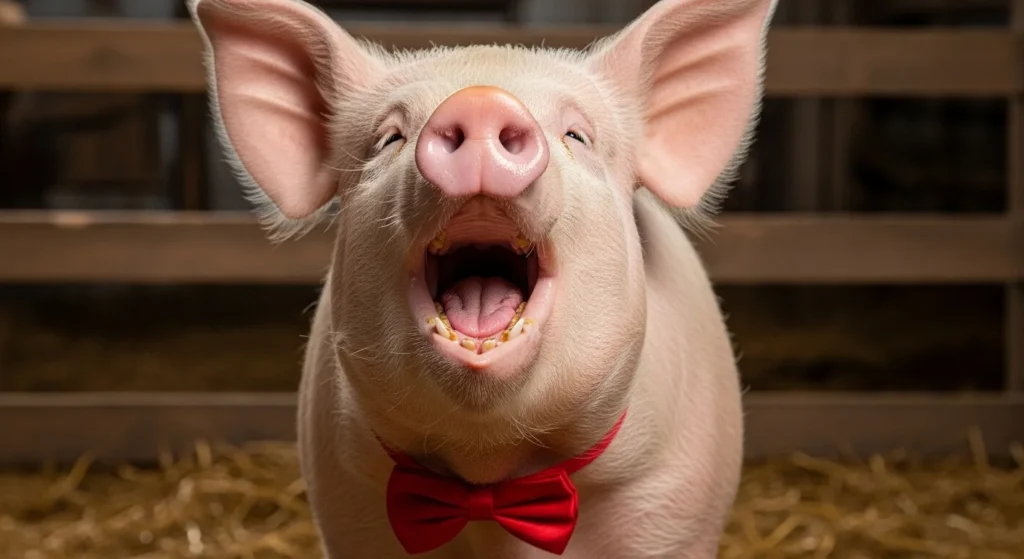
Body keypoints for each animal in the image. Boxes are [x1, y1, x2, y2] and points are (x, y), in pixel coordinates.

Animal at [187, 0, 778, 557]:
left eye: (577, 134)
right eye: (389, 138)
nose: (480, 100)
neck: (488, 474)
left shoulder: (674, 516)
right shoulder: (347, 514)